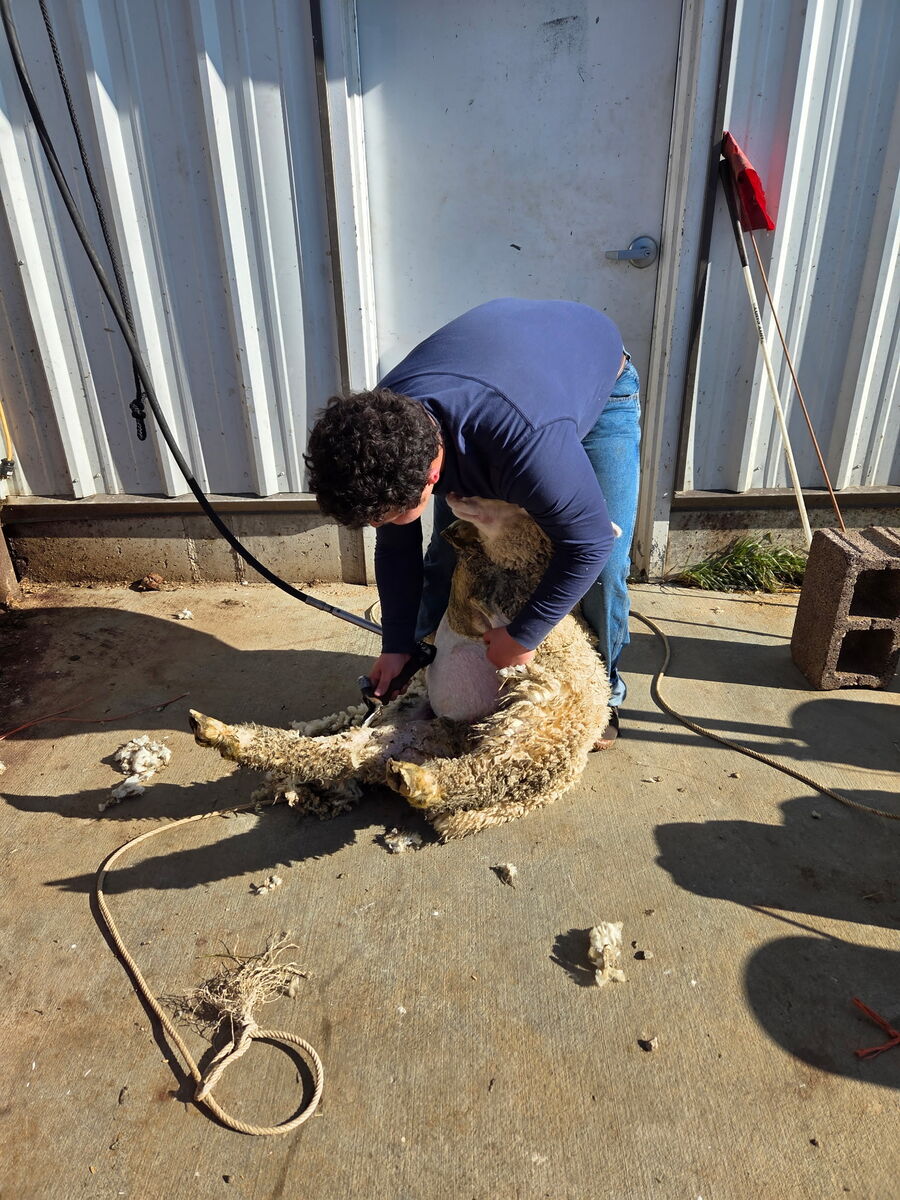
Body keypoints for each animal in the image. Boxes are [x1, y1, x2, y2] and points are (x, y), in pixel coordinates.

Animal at [190, 497, 611, 839]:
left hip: (534, 731)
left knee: (488, 772)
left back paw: (419, 781)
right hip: (417, 730)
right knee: (342, 754)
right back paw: (221, 733)